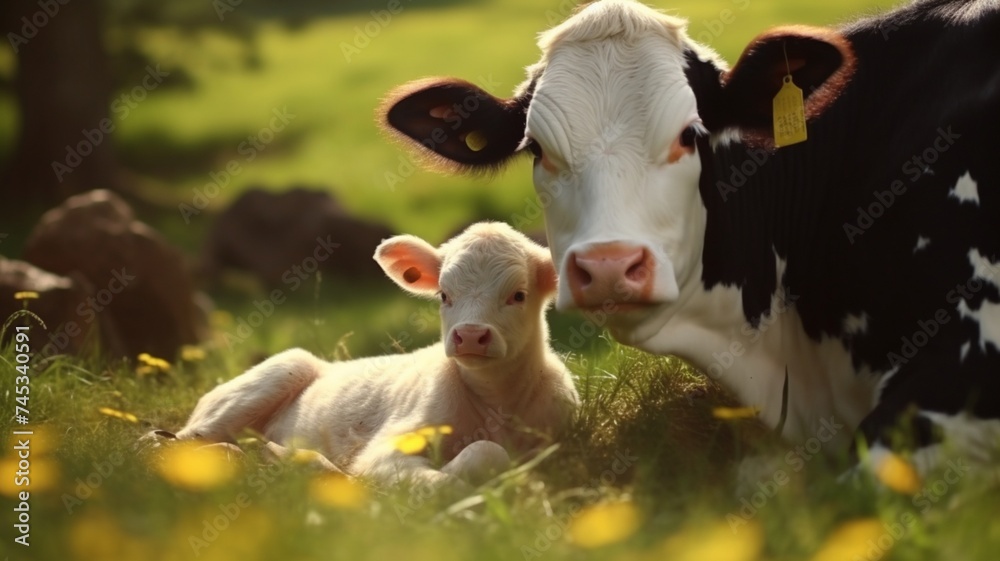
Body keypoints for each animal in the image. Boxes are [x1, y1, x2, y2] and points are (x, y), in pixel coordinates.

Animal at [173, 222, 579, 487]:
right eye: (444, 295)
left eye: (518, 295)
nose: (470, 335)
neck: (496, 399)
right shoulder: (387, 447)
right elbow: (469, 466)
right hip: (271, 375)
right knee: (181, 442)